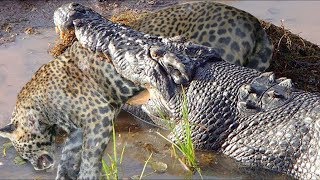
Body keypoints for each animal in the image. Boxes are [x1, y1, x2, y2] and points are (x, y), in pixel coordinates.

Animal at [0, 41, 141, 180]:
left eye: (24, 151)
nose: (37, 167)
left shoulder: (98, 116)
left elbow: (90, 154)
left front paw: (87, 176)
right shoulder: (76, 131)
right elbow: (67, 158)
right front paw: (65, 176)